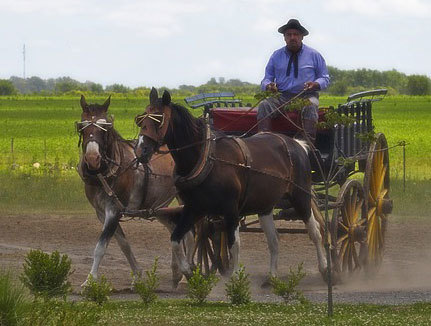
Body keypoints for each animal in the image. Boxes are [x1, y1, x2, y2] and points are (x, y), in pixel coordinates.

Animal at [76, 95, 194, 286]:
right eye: (82, 127)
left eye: (106, 128)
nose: (92, 159)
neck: (108, 173)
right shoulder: (101, 213)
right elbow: (123, 244)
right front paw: (137, 275)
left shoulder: (113, 210)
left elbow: (100, 246)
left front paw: (90, 279)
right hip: (159, 205)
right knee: (176, 228)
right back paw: (178, 272)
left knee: (189, 233)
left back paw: (188, 270)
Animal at [135, 89, 328, 282]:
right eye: (141, 119)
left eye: (159, 119)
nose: (140, 150)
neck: (206, 159)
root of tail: (297, 144)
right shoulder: (193, 208)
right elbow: (176, 239)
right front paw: (189, 271)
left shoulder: (231, 209)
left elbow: (234, 244)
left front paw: (235, 278)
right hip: (265, 205)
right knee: (274, 240)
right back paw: (272, 276)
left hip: (301, 197)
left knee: (315, 232)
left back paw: (325, 268)